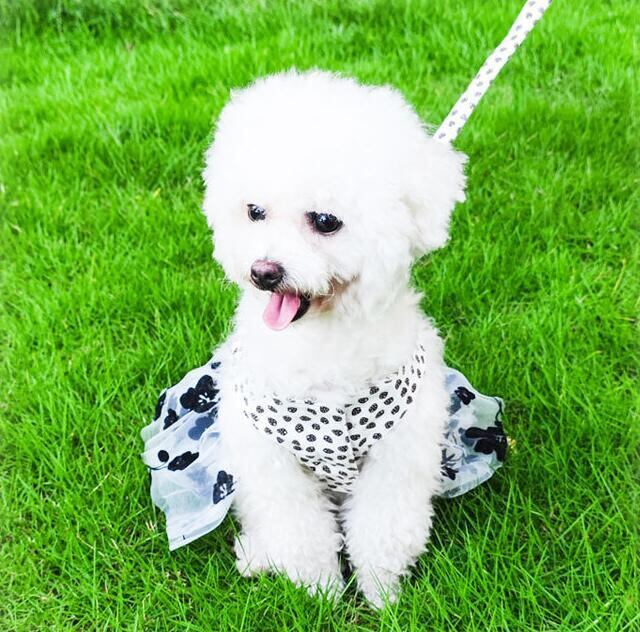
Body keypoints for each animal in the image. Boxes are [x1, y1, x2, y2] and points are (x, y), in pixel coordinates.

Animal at [200, 69, 466, 606]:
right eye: (254, 211)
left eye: (325, 221)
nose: (263, 272)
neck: (321, 344)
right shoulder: (273, 465)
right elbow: (301, 534)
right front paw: (321, 594)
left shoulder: (397, 458)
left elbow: (382, 531)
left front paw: (382, 598)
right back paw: (258, 557)